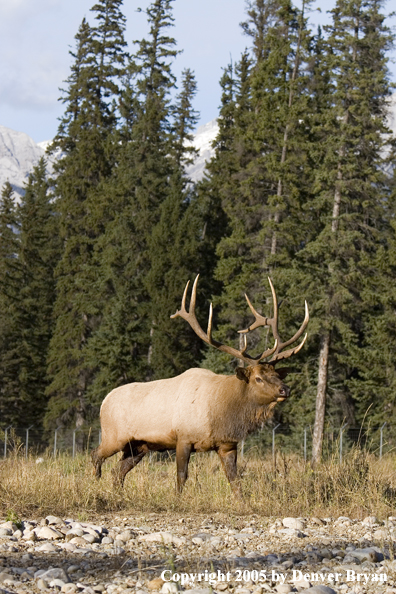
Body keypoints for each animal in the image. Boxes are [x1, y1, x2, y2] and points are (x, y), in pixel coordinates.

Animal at [91, 276, 308, 492]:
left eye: (277, 374)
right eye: (258, 378)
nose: (285, 389)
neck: (222, 413)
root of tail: (104, 401)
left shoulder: (227, 445)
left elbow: (234, 480)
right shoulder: (183, 438)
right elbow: (181, 477)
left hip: (138, 446)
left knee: (117, 472)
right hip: (113, 437)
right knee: (96, 456)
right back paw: (94, 483)